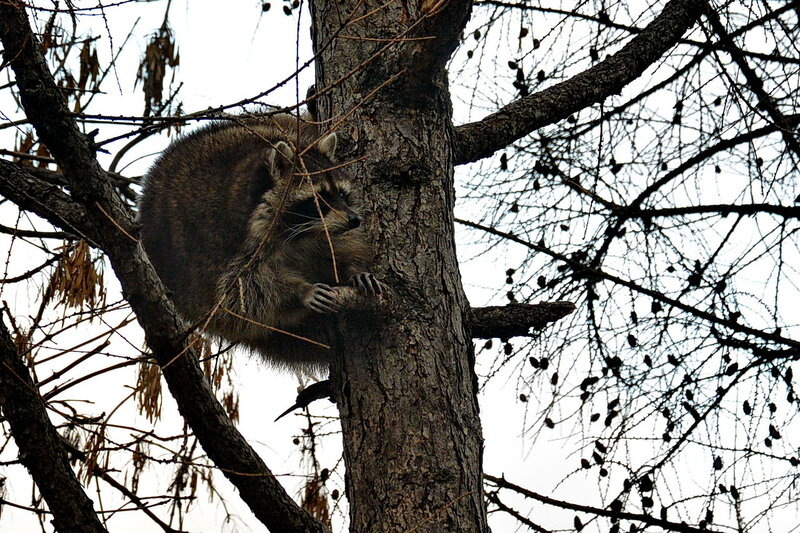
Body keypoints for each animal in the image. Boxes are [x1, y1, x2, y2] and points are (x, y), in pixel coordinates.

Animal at [140, 113, 382, 370]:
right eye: (319, 199)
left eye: (342, 194)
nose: (355, 219)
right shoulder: (221, 245)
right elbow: (241, 297)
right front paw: (299, 291)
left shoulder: (325, 232)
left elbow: (342, 246)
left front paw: (354, 270)